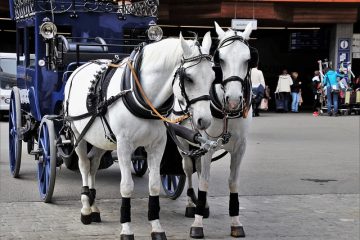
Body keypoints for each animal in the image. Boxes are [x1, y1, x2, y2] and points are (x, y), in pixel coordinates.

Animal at [63, 32, 214, 240]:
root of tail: (78, 69)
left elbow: (154, 185)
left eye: (213, 76)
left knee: (93, 164)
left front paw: (156, 227)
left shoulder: (157, 145)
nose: (204, 120)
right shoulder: (124, 146)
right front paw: (126, 228)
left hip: (101, 139)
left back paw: (94, 207)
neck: (142, 96)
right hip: (78, 134)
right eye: (189, 78)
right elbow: (126, 186)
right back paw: (86, 209)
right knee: (85, 166)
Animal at [175, 23, 255, 238]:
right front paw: (197, 225)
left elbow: (233, 182)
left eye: (248, 60)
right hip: (184, 143)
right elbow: (204, 182)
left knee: (198, 167)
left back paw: (203, 206)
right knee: (188, 169)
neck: (226, 113)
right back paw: (190, 205)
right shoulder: (206, 146)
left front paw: (235, 222)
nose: (234, 100)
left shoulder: (240, 148)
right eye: (221, 60)